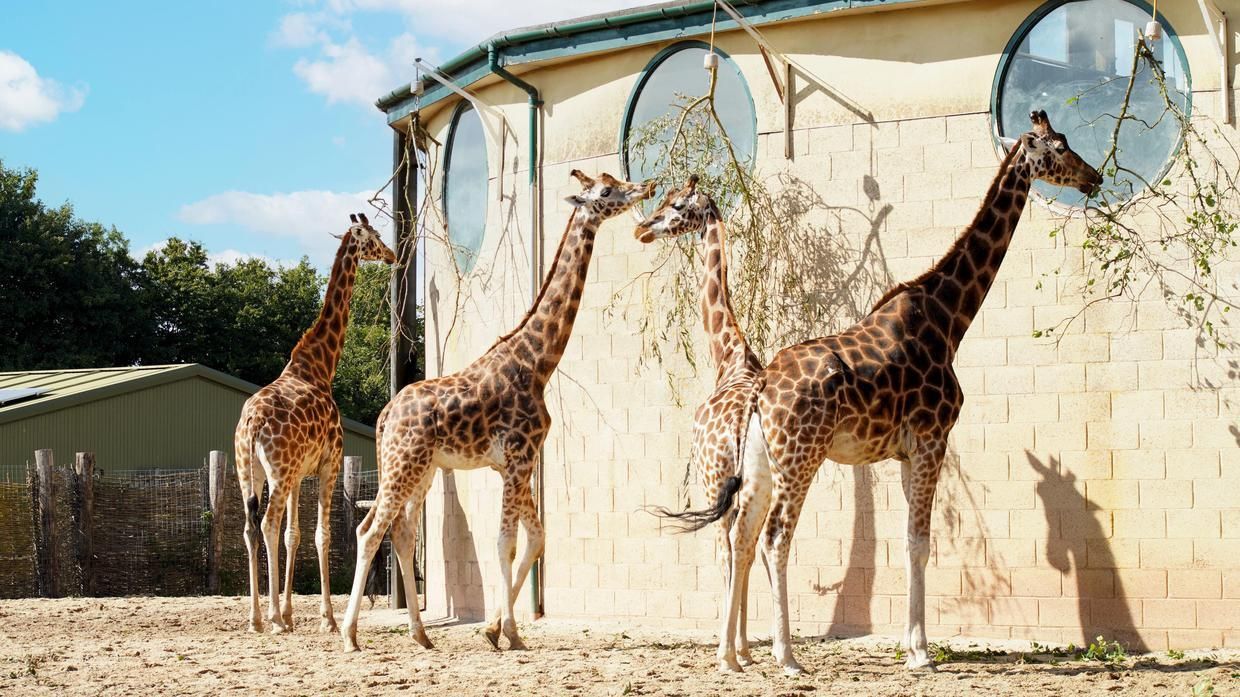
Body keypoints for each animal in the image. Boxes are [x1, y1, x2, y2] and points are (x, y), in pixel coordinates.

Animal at [235, 214, 396, 632]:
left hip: (250, 471)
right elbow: (322, 535)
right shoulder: (329, 463)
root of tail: (252, 423)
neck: (320, 366)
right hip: (276, 472)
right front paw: (326, 618)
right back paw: (272, 618)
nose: (391, 255)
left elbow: (294, 535)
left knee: (251, 527)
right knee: (266, 524)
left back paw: (256, 618)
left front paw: (292, 613)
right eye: (373, 237)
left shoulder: (297, 476)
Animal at [334, 169, 654, 649]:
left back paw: (420, 635)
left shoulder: (516, 463)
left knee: (402, 533)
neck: (537, 363)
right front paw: (510, 632)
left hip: (421, 469)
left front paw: (493, 627)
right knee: (370, 530)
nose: (645, 188)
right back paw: (351, 635)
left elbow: (535, 538)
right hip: (402, 465)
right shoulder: (519, 457)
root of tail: (385, 416)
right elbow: (506, 542)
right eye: (605, 191)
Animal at [639, 174, 763, 659]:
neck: (729, 355)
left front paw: (738, 646)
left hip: (716, 480)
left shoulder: (716, 484)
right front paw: (747, 646)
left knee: (730, 549)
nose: (643, 228)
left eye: (676, 205)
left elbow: (727, 558)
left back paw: (727, 652)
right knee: (754, 544)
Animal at [684, 109, 1101, 674]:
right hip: (800, 457)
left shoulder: (905, 453)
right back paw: (787, 656)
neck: (949, 318)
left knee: (741, 536)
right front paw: (922, 653)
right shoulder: (932, 439)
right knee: (775, 538)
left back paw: (731, 656)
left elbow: (909, 544)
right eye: (1058, 147)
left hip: (761, 462)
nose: (1093, 178)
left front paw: (910, 644)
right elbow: (921, 542)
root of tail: (761, 385)